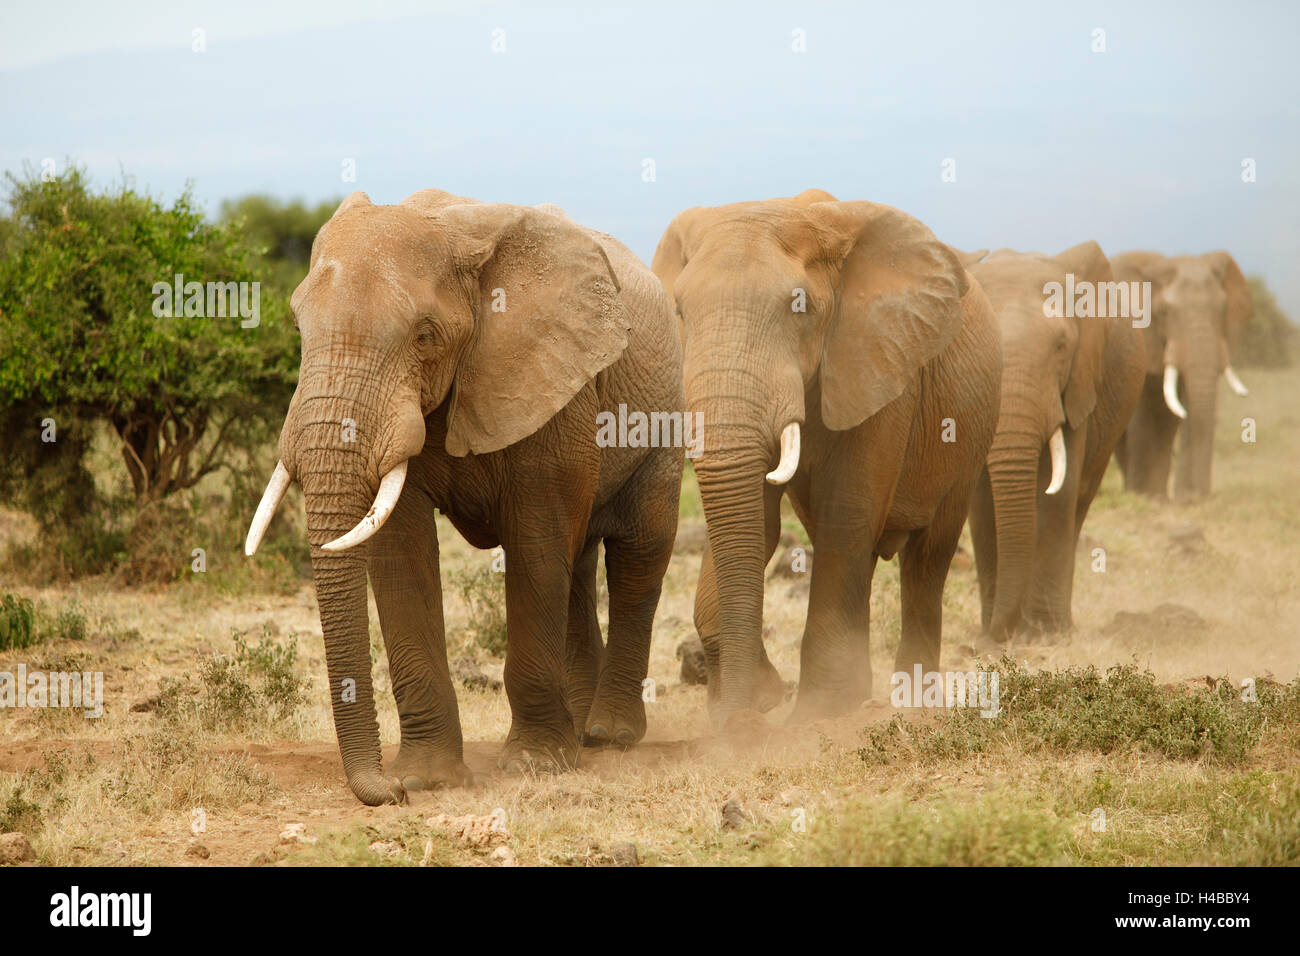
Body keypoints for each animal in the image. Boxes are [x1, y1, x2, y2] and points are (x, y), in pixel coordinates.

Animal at [246, 191, 686, 806]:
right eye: (297, 326)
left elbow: (535, 544)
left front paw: (534, 766)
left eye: (425, 335)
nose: (389, 792)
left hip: (663, 414)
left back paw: (608, 735)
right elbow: (401, 553)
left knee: (638, 555)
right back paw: (579, 731)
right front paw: (426, 778)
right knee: (577, 564)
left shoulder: (550, 377)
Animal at [650, 188, 1003, 723]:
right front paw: (756, 703)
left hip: (968, 440)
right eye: (680, 311)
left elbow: (849, 508)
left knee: (926, 559)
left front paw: (818, 713)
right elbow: (758, 521)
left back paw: (910, 701)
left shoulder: (880, 364)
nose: (743, 723)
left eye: (800, 309)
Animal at [961, 243, 1144, 642]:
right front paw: (993, 631)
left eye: (1061, 347)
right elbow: (981, 501)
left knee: (1080, 500)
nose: (992, 639)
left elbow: (1059, 495)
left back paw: (1061, 626)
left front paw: (1044, 635)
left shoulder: (1078, 383)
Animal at [1107, 251, 1248, 502]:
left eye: (1223, 310)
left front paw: (1175, 499)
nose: (1198, 496)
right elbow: (1142, 417)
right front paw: (1145, 498)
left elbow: (1182, 414)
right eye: (1164, 312)